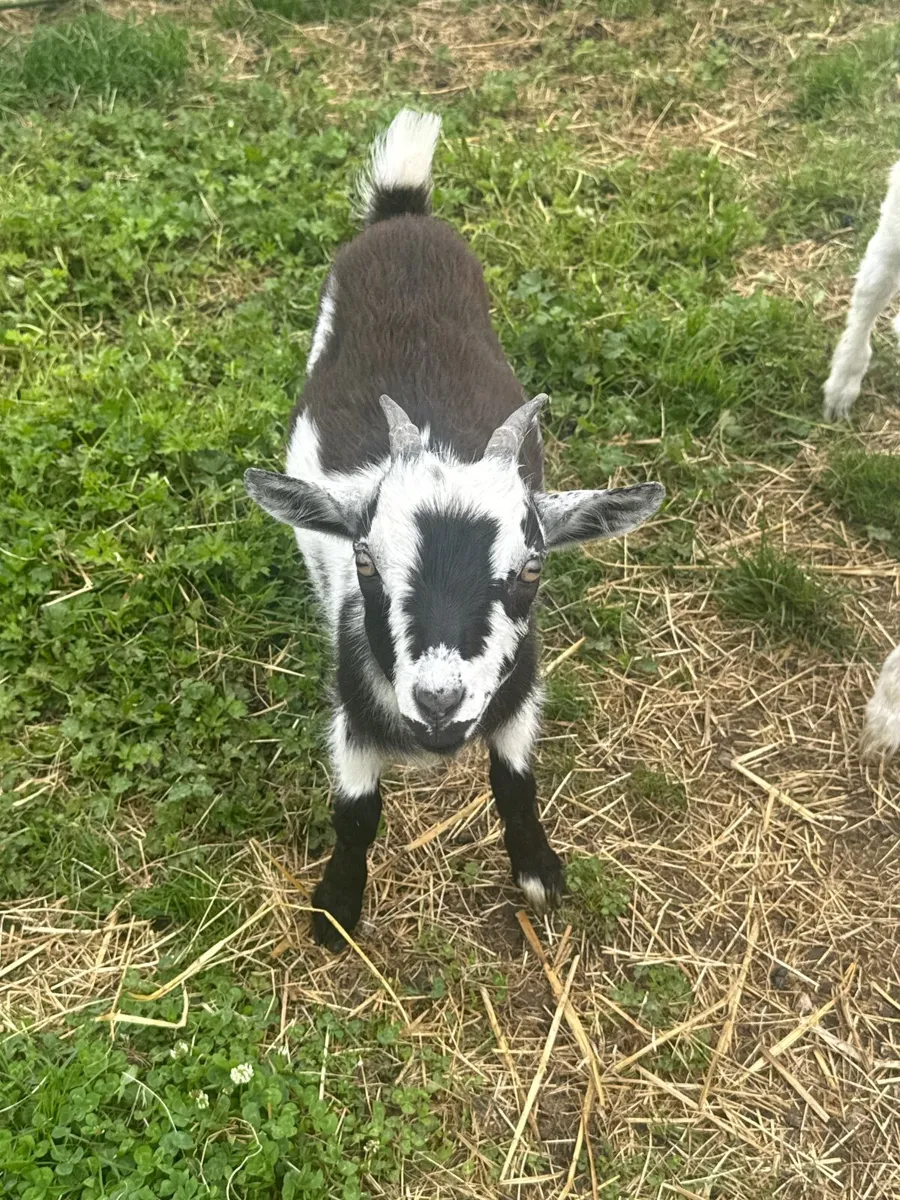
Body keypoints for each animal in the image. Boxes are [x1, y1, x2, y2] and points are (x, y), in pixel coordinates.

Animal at [244, 110, 665, 950]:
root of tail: (403, 214)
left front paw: (539, 874)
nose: (440, 700)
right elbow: (357, 813)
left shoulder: (520, 693)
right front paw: (337, 909)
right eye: (365, 561)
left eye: (533, 567)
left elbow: (515, 780)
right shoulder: (352, 716)